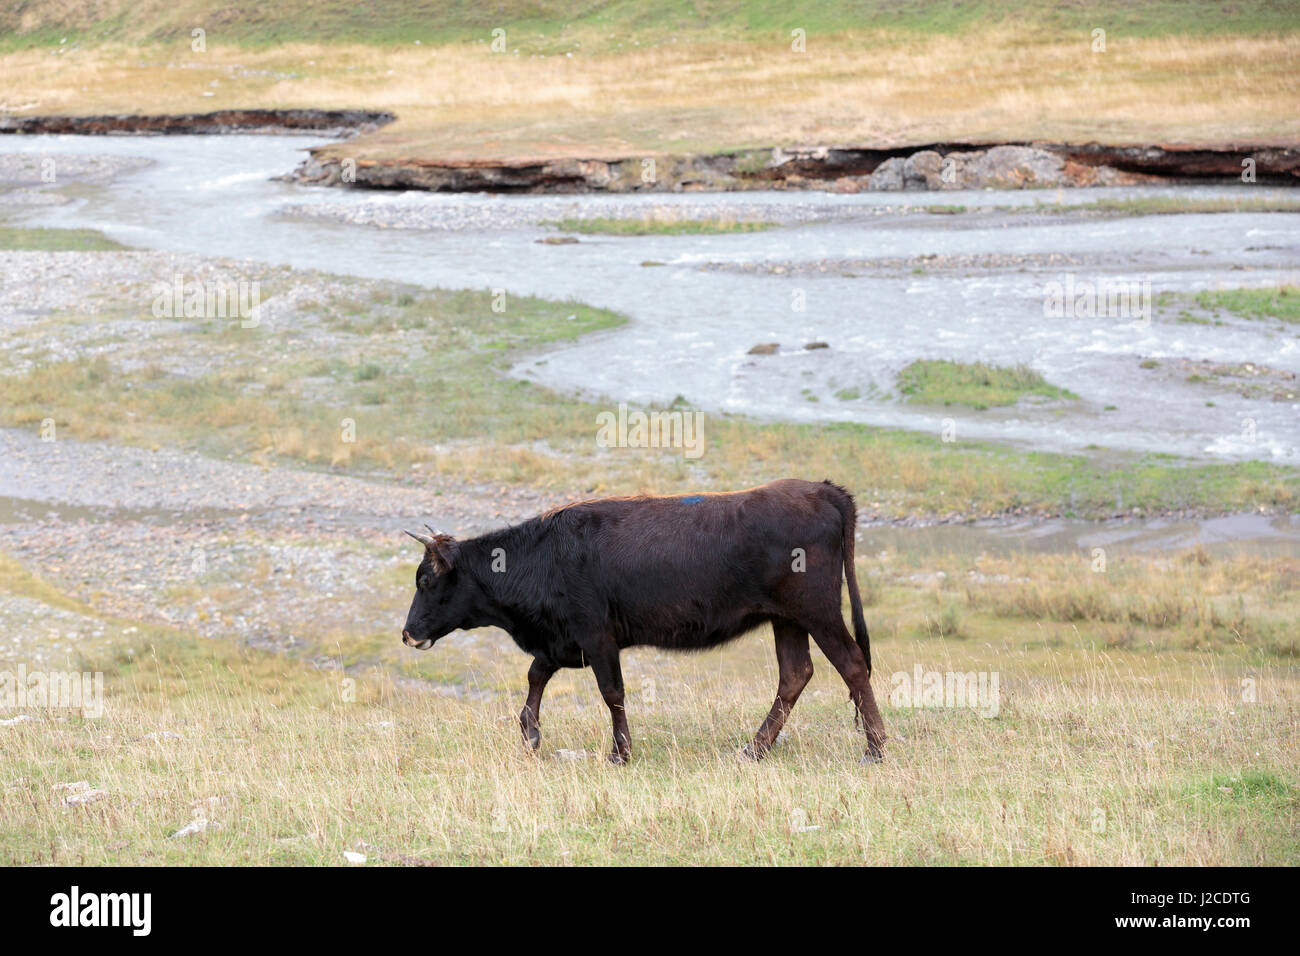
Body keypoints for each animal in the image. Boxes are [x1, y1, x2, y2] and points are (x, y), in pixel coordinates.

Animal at [400, 481, 889, 764]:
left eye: (425, 579)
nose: (407, 634)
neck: (543, 555)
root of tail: (822, 490)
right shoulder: (562, 641)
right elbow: (536, 675)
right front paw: (530, 734)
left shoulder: (597, 638)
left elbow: (611, 693)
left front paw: (620, 752)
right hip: (785, 619)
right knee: (795, 675)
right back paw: (754, 749)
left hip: (818, 612)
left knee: (851, 665)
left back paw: (875, 748)